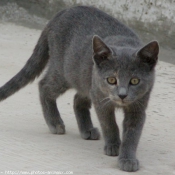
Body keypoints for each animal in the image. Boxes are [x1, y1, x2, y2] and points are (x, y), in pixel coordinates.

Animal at [0, 5, 159, 172]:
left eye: (135, 81)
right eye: (111, 80)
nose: (122, 95)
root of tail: (62, 12)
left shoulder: (138, 106)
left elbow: (132, 134)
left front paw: (127, 158)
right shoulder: (101, 100)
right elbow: (109, 124)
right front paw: (114, 145)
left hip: (85, 80)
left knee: (77, 98)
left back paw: (86, 129)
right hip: (65, 72)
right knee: (44, 85)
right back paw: (55, 122)